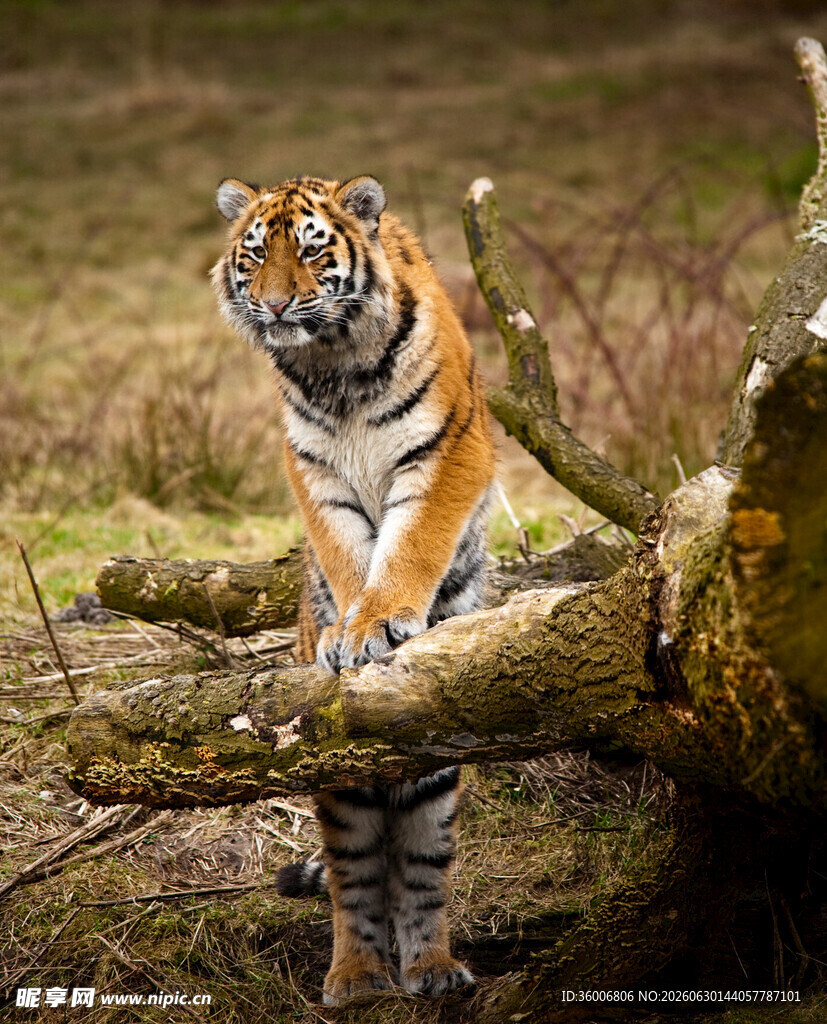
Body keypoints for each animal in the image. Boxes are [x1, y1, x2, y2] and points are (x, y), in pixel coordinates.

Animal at [211, 174, 496, 1005]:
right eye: (253, 255)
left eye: (311, 251)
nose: (275, 306)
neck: (330, 363)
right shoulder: (313, 466)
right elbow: (346, 554)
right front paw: (348, 629)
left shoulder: (448, 447)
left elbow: (412, 542)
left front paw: (381, 621)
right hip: (337, 781)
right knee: (356, 879)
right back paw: (358, 978)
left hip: (434, 776)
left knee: (422, 874)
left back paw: (431, 969)